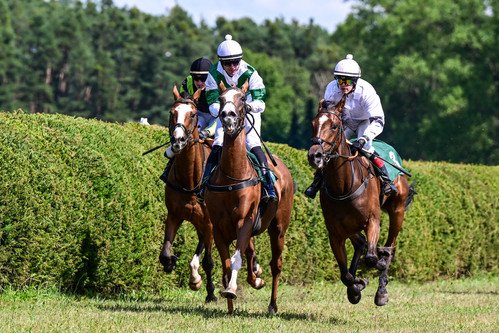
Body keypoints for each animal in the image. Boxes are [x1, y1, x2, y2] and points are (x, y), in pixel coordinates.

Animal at [158, 84, 217, 302]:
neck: (190, 179)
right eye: (172, 112)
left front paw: (211, 293)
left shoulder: (210, 222)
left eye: (192, 114)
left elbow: (209, 261)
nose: (178, 140)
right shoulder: (174, 215)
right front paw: (171, 262)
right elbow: (165, 253)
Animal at [205, 81, 294, 314]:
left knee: (276, 264)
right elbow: (227, 264)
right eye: (221, 97)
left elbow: (237, 259)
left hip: (278, 227)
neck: (231, 176)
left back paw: (272, 305)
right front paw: (229, 303)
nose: (227, 115)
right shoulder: (218, 227)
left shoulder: (244, 221)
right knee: (251, 253)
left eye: (243, 98)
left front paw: (232, 289)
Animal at [306, 96, 416, 306]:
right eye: (313, 124)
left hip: (397, 211)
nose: (315, 155)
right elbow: (345, 275)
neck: (344, 185)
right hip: (351, 225)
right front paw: (356, 287)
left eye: (334, 126)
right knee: (360, 243)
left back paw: (381, 291)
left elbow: (372, 258)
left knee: (389, 247)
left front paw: (373, 272)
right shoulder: (335, 232)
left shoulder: (372, 221)